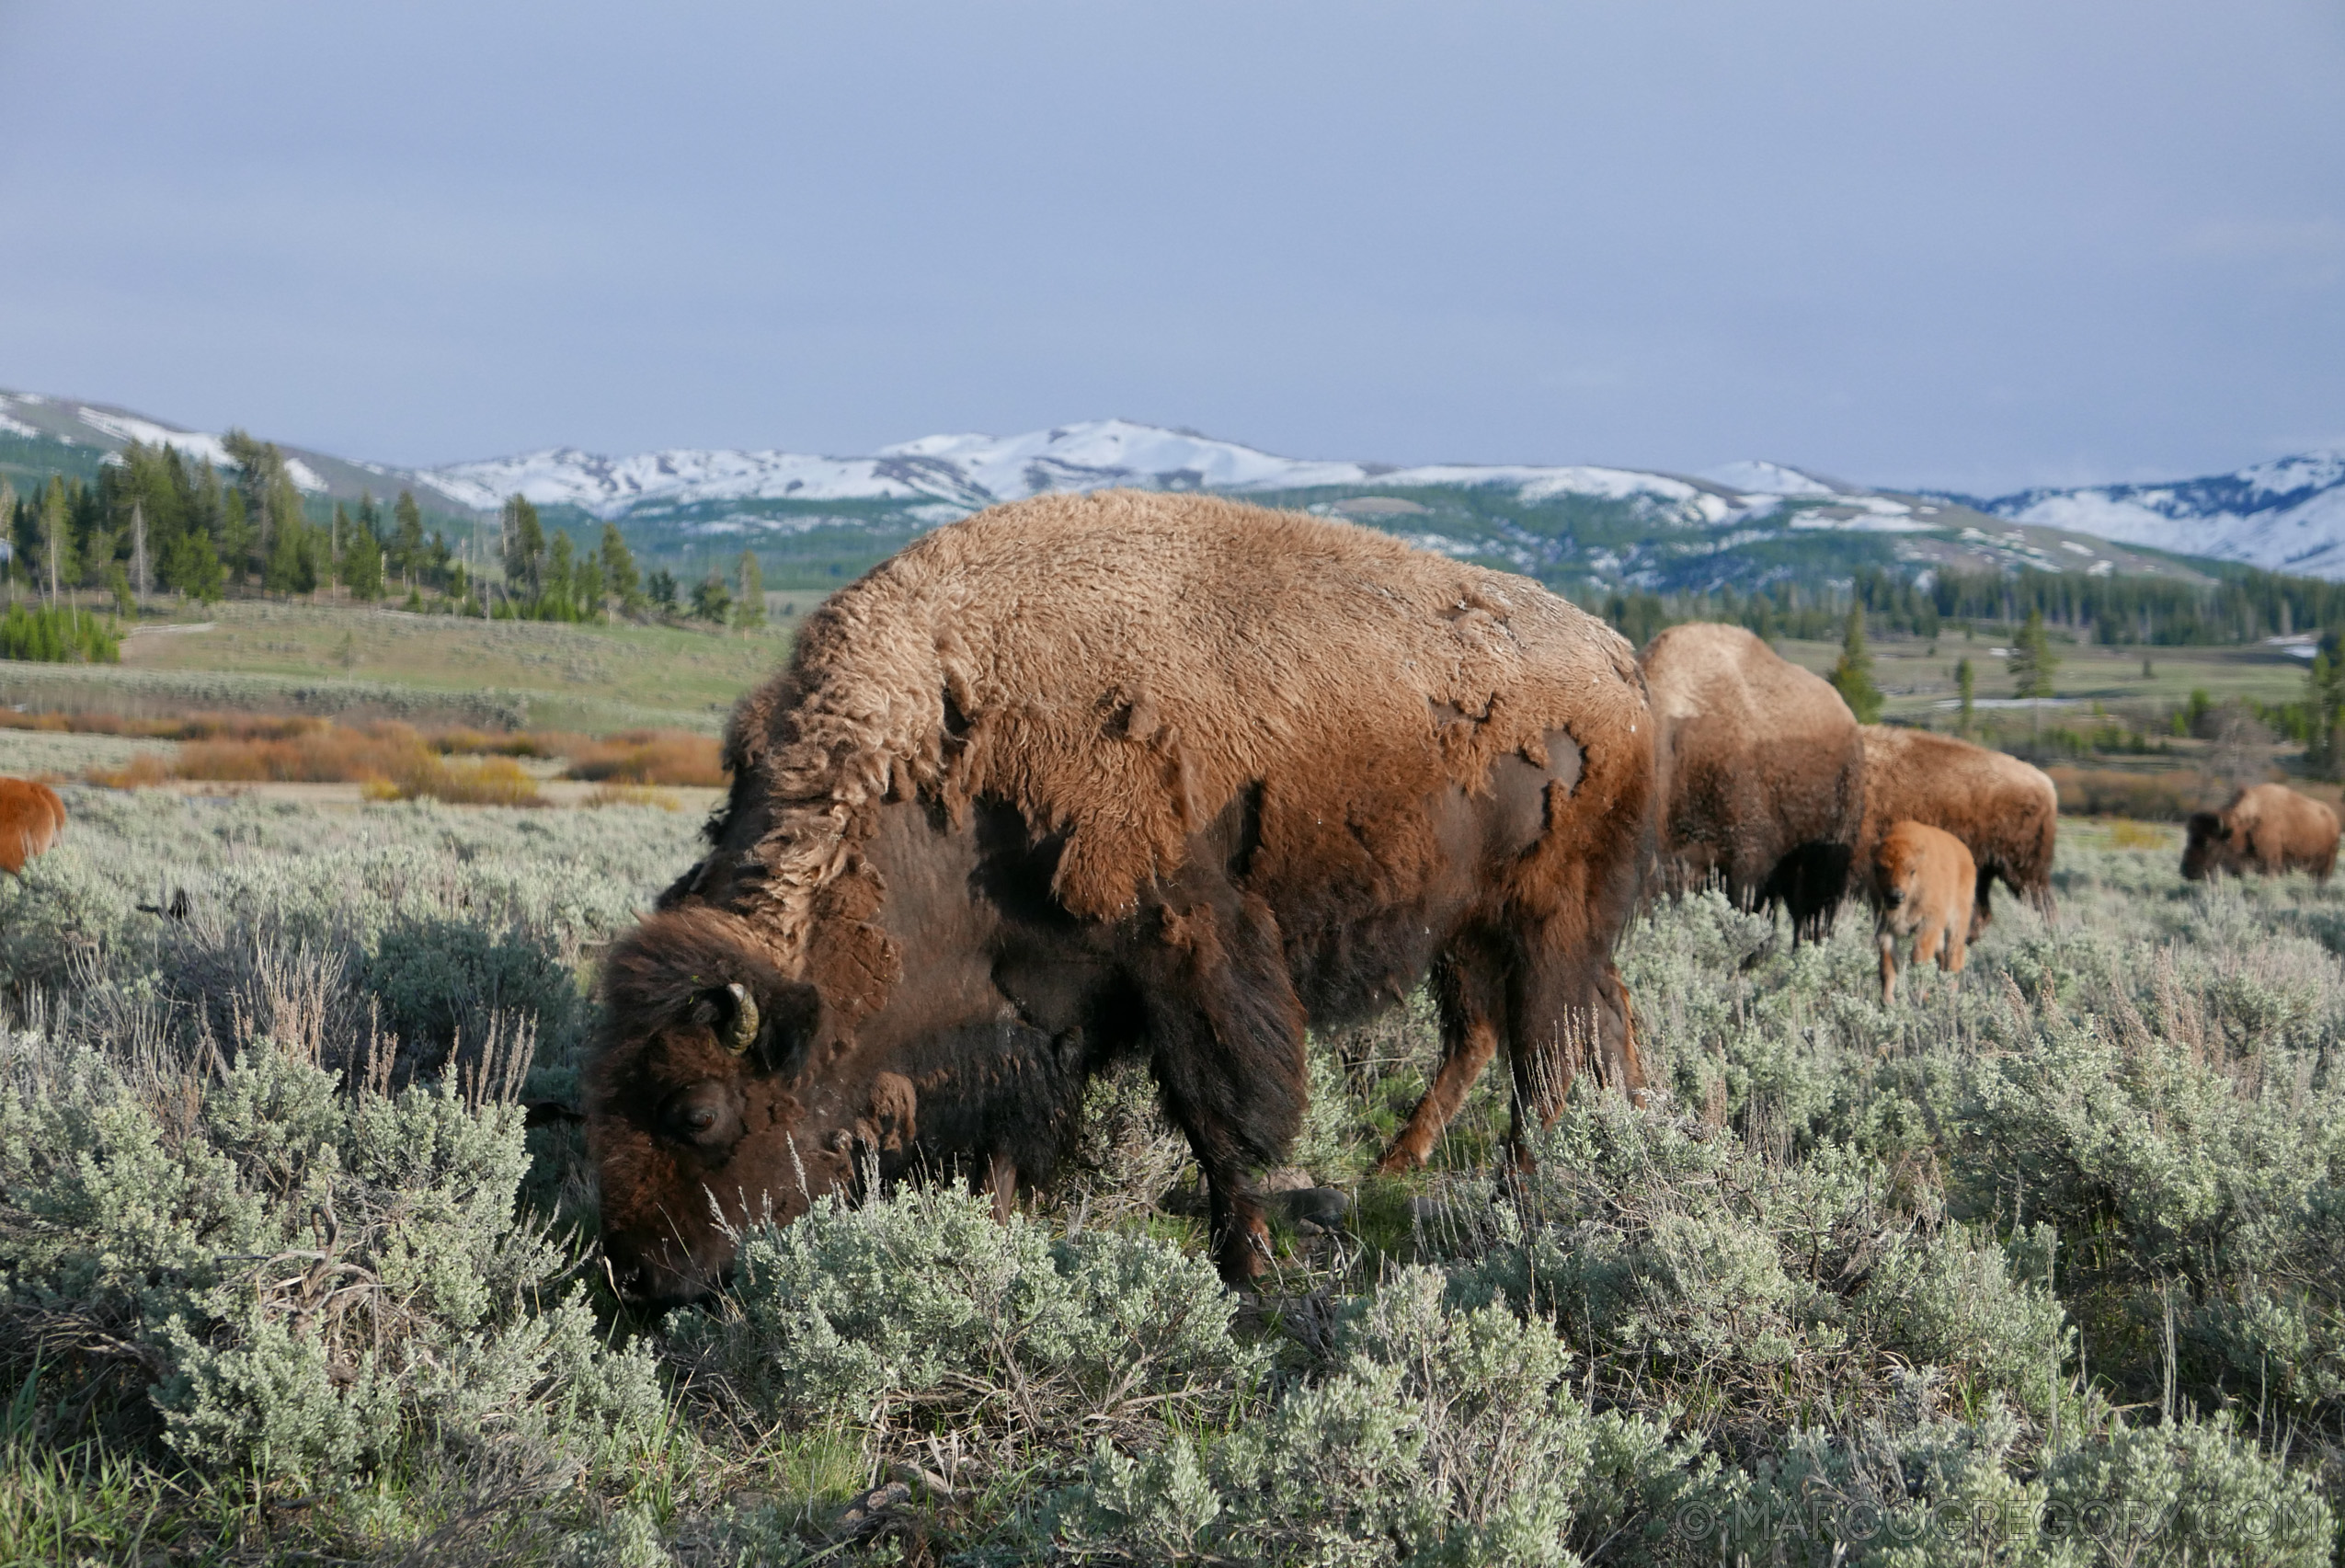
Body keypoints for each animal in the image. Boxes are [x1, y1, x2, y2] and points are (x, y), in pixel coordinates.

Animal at [583, 489, 1651, 1293]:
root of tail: (1619, 663)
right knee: (1562, 1026)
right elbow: (1021, 1134)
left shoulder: (1186, 955)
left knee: (1544, 1057)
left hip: (1545, 921)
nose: (641, 1276)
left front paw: (1249, 1268)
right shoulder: (1039, 1000)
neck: (941, 758)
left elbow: (1222, 1120)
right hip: (1487, 927)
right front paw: (999, 1235)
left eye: (697, 1113)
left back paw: (1518, 1202)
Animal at [1866, 820, 1979, 1002]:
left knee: (1954, 956)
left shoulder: (1928, 924)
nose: (1895, 896)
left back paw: (1951, 996)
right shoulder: (1885, 929)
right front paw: (1887, 1001)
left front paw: (1921, 996)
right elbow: (1887, 966)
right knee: (1942, 956)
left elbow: (1919, 959)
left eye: (1912, 870)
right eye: (1878, 868)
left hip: (1958, 920)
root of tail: (1966, 855)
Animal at [2167, 783, 2335, 881]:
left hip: (2325, 866)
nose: (2186, 870)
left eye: (2207, 842)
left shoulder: (2270, 866)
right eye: (2189, 838)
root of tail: (2333, 816)